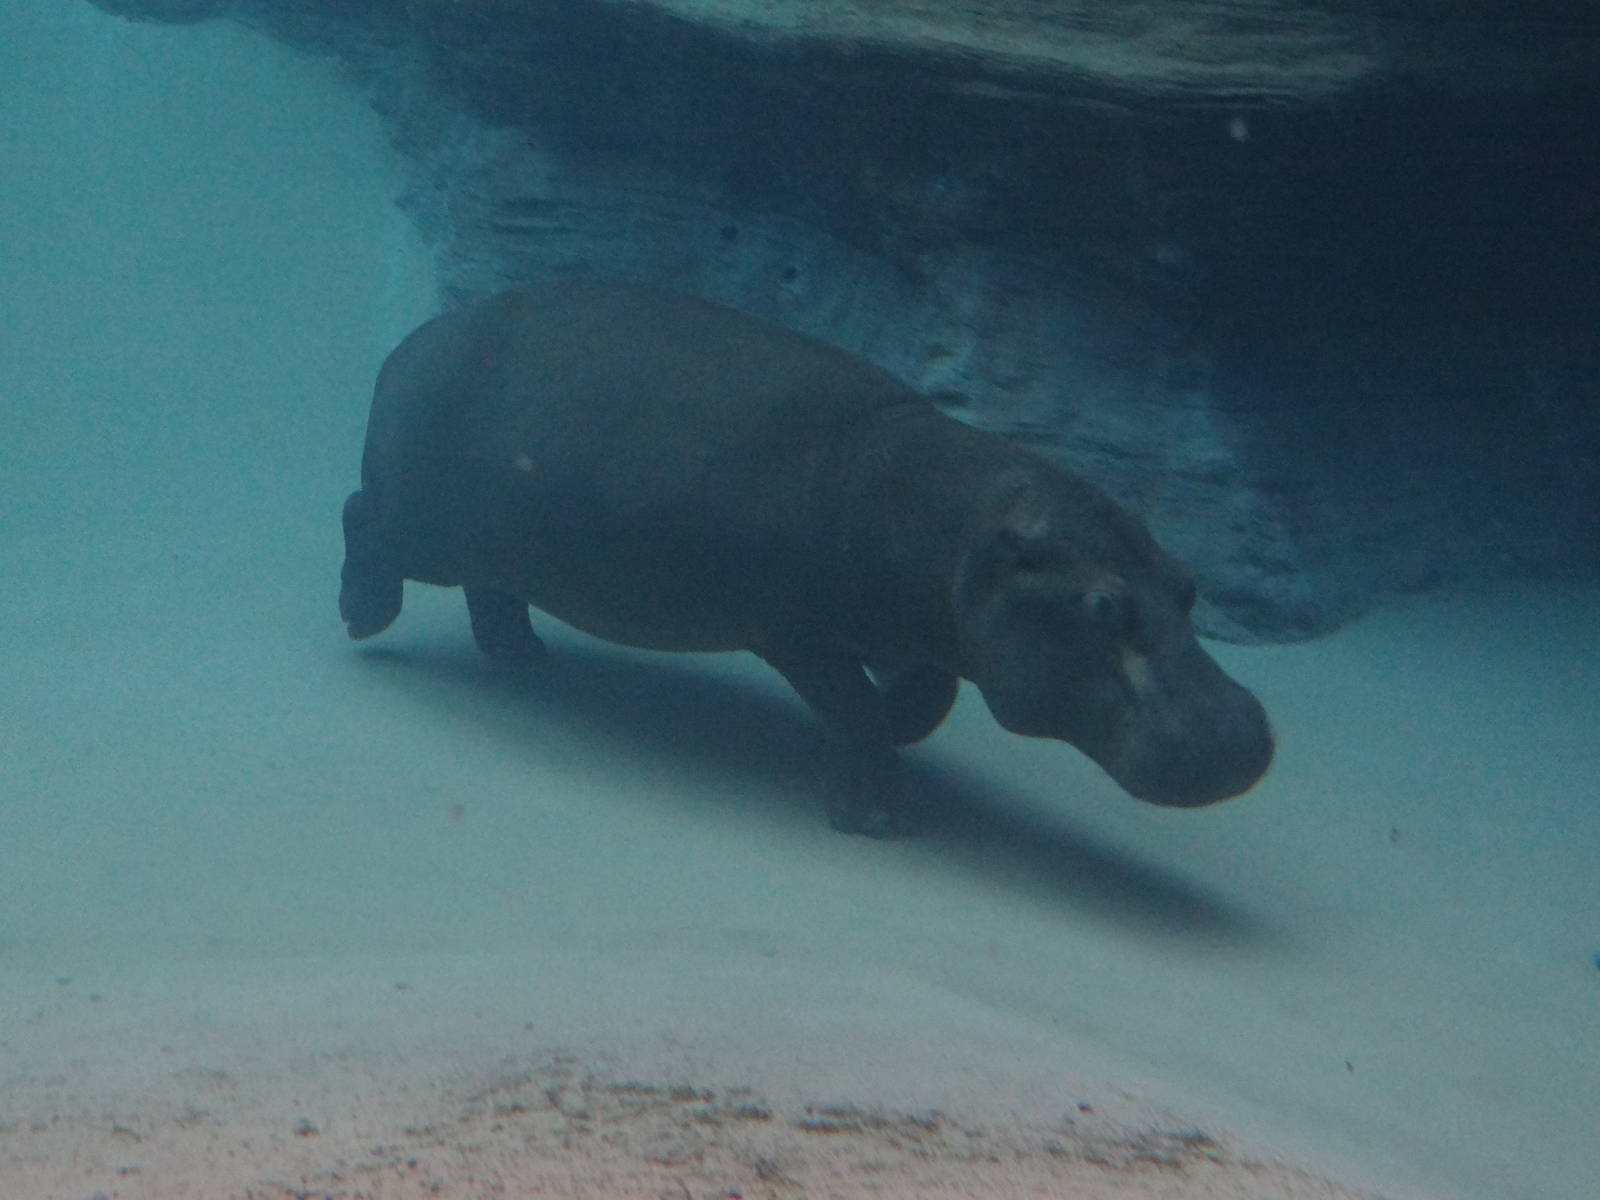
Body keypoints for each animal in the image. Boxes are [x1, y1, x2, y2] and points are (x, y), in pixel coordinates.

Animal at [340, 283, 1273, 834]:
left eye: (1189, 586)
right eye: (1104, 606)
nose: (1243, 736)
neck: (965, 525)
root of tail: (409, 344)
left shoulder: (932, 635)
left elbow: (925, 696)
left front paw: (895, 731)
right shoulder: (797, 632)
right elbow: (852, 708)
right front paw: (874, 813)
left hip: (496, 543)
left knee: (493, 593)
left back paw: (523, 657)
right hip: (425, 524)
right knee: (364, 521)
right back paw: (365, 618)